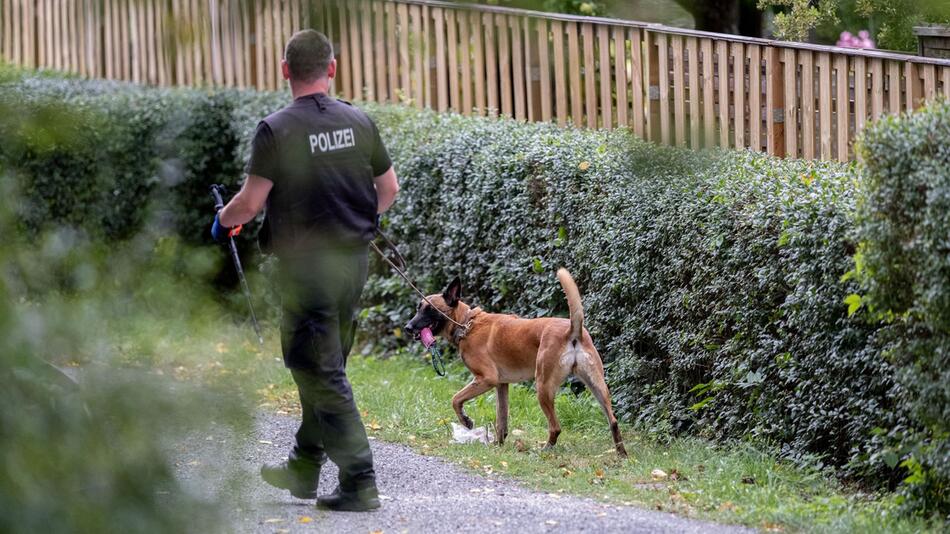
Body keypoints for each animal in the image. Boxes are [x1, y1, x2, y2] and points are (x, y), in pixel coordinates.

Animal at [406, 270, 628, 458]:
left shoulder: (486, 379)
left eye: (429, 310)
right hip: (597, 386)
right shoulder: (501, 385)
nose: (407, 327)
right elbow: (501, 420)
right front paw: (498, 444)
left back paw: (544, 450)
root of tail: (572, 330)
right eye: (418, 308)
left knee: (555, 427)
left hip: (543, 387)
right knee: (613, 421)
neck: (467, 324)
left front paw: (466, 421)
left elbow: (455, 399)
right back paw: (621, 454)